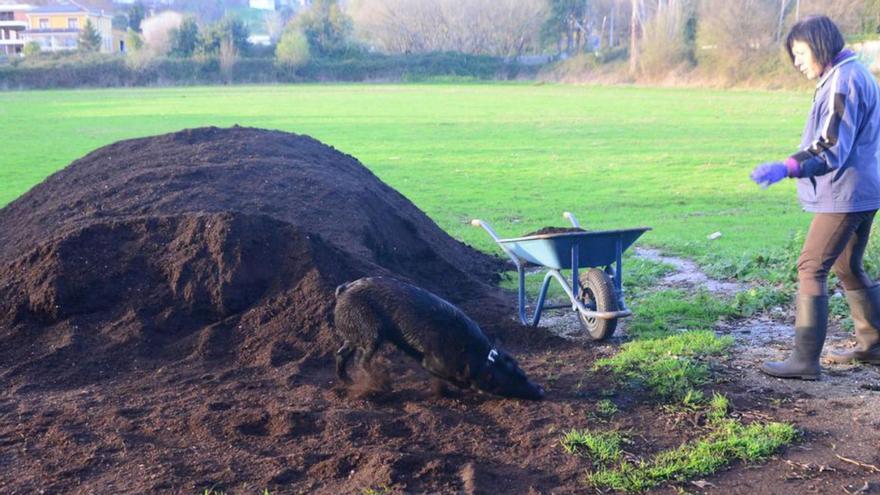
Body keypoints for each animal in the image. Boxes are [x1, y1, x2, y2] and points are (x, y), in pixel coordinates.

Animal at [336, 278, 544, 402]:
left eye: (523, 374)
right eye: (515, 380)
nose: (541, 391)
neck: (481, 359)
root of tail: (344, 290)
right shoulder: (432, 363)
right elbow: (456, 380)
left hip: (354, 336)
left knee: (340, 354)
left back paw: (347, 381)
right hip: (372, 333)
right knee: (360, 360)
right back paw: (381, 384)